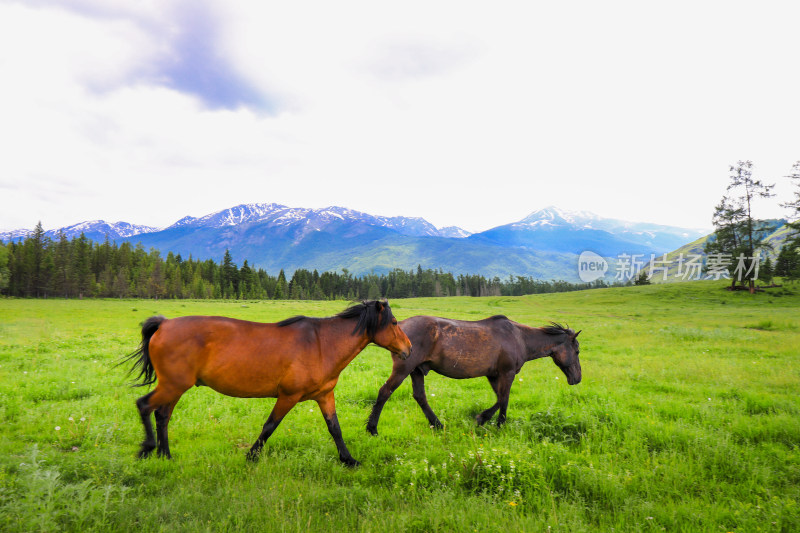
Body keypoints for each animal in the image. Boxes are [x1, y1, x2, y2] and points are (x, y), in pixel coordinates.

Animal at [125, 300, 412, 466]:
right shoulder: (288, 396)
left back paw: (165, 456)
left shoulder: (324, 396)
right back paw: (148, 449)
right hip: (172, 386)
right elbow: (269, 426)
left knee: (162, 415)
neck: (322, 344)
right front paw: (251, 456)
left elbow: (335, 429)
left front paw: (348, 459)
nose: (409, 348)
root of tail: (164, 324)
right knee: (144, 406)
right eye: (394, 322)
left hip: (174, 387)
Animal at [366, 314, 580, 434]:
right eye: (577, 351)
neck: (519, 337)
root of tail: (399, 327)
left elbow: (501, 398)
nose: (577, 379)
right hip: (403, 369)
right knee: (384, 392)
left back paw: (438, 425)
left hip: (417, 370)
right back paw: (372, 429)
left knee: (420, 397)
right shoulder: (507, 373)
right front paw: (490, 421)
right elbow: (504, 399)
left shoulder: (494, 375)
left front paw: (490, 421)